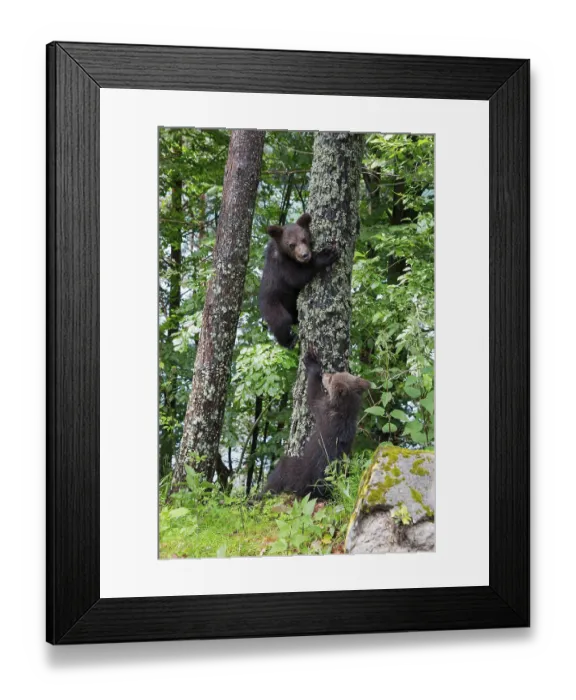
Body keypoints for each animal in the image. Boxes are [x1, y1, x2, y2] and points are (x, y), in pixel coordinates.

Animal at [258, 213, 338, 348]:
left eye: (304, 239)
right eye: (292, 244)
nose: (304, 255)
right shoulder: (281, 265)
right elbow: (297, 278)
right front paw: (326, 255)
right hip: (272, 303)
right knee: (281, 321)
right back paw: (289, 341)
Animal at [264, 348, 371, 499]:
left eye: (331, 379)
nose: (325, 374)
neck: (345, 410)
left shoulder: (323, 411)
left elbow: (313, 395)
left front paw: (311, 360)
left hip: (298, 472)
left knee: (280, 472)